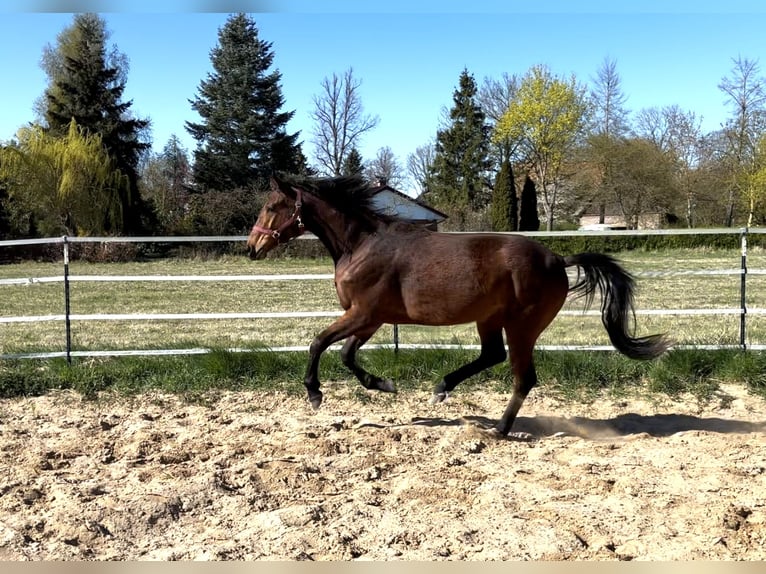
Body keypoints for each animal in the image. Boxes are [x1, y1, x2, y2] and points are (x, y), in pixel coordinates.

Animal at [247, 174, 669, 437]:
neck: (361, 245)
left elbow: (319, 342)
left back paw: (498, 429)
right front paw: (384, 385)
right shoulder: (371, 318)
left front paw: (315, 394)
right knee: (492, 356)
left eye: (272, 206)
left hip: (523, 326)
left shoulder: (363, 313)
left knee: (523, 376)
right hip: (490, 320)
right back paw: (442, 389)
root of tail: (557, 259)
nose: (252, 248)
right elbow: (347, 355)